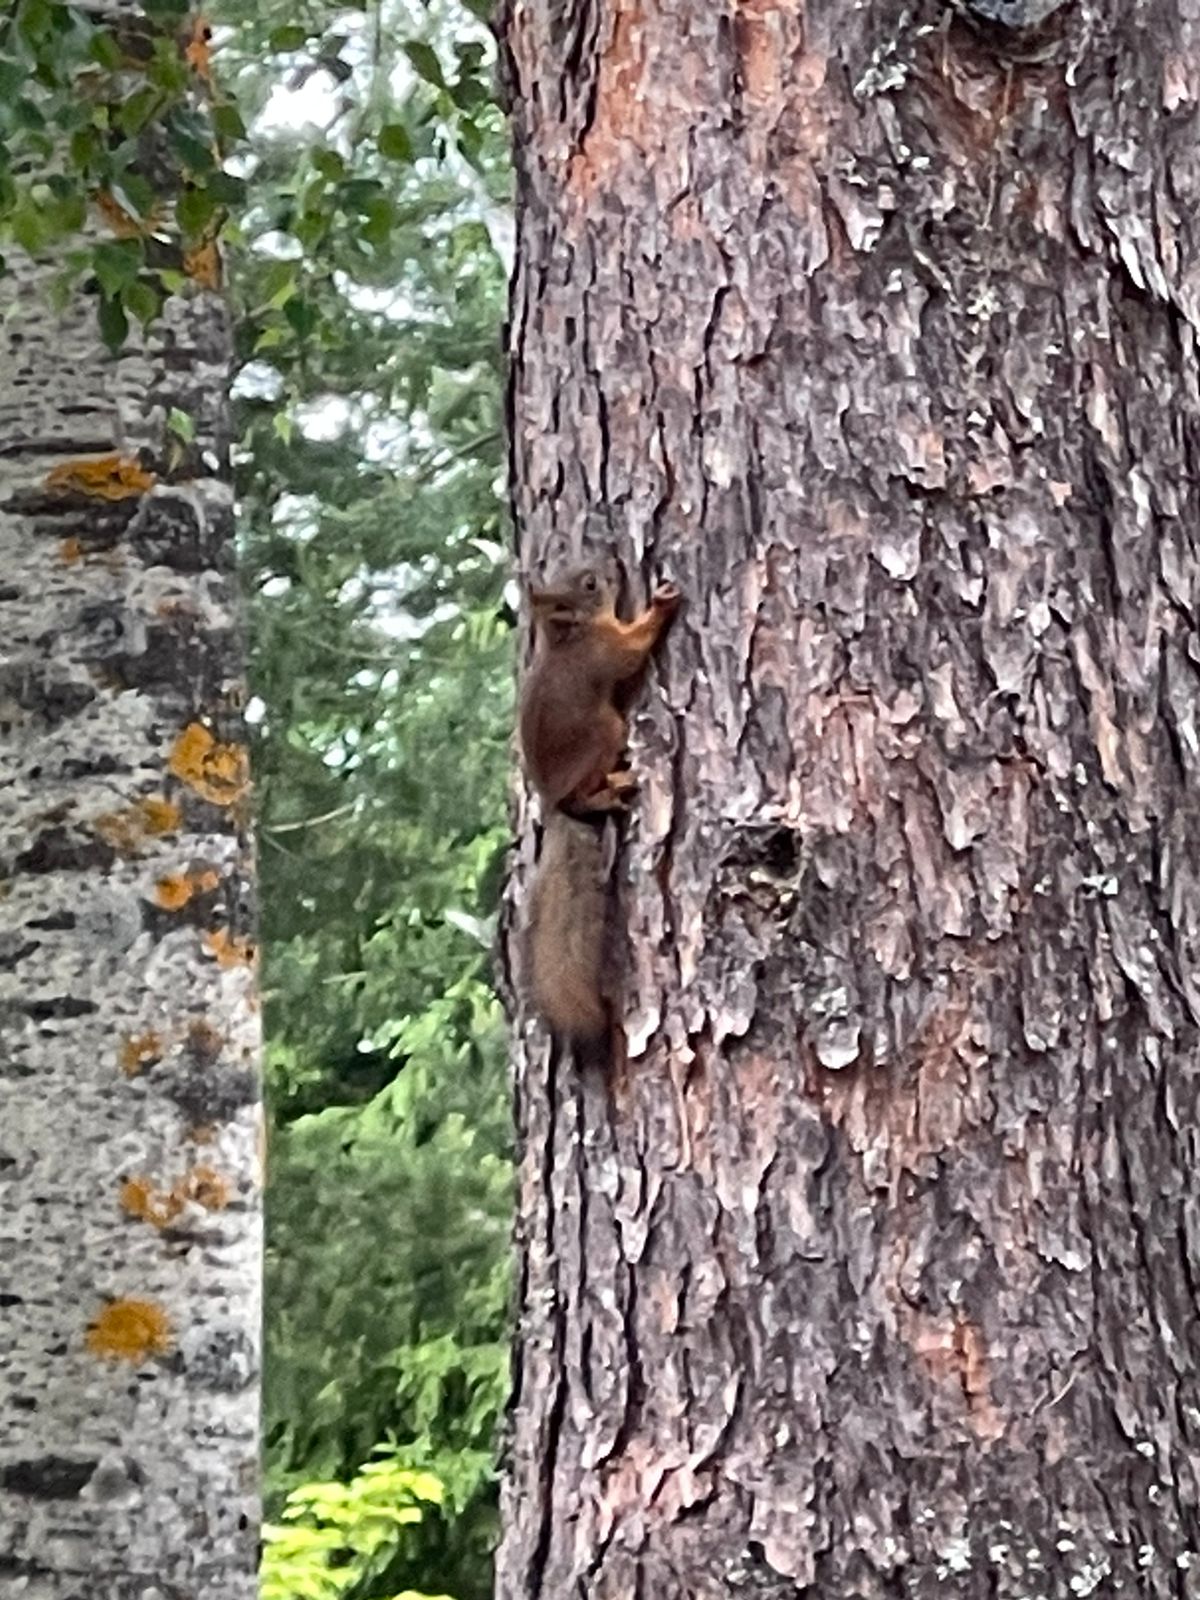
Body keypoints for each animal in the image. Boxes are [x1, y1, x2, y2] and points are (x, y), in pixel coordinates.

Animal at [521, 563, 681, 1036]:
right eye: (589, 585)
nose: (611, 565)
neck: (573, 636)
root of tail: (553, 806)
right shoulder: (608, 650)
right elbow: (633, 650)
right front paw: (661, 604)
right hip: (606, 730)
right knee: (586, 794)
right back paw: (613, 788)